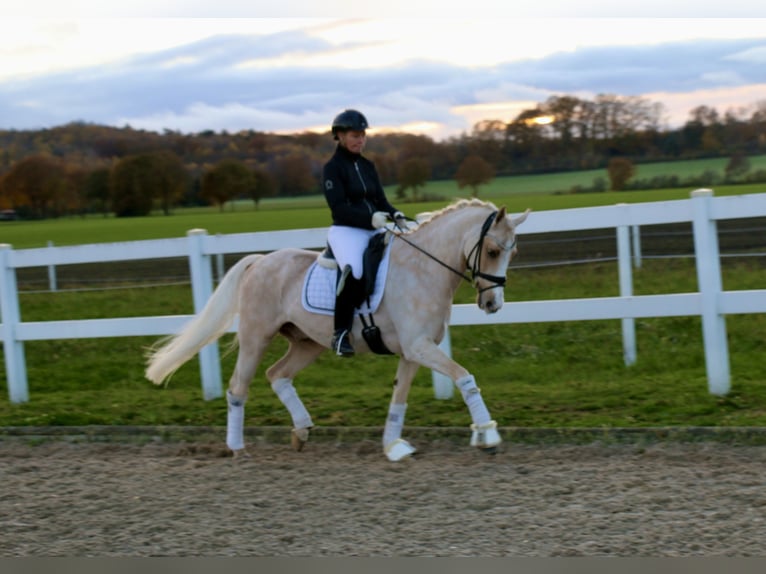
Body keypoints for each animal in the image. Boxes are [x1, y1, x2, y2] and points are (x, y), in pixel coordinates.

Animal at [147, 199, 532, 464]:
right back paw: (238, 449)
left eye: (513, 252)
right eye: (493, 250)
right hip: (256, 337)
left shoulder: (414, 350)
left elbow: (399, 398)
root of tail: (260, 261)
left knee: (277, 375)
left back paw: (301, 431)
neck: (424, 268)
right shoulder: (419, 347)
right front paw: (487, 435)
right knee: (238, 387)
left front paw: (393, 445)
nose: (492, 304)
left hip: (307, 343)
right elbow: (464, 377)